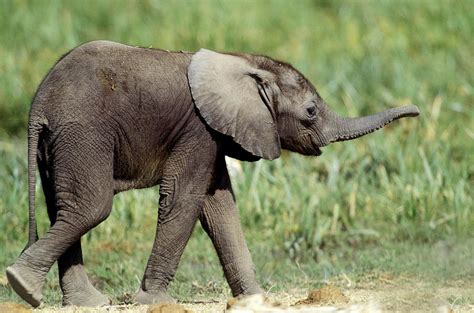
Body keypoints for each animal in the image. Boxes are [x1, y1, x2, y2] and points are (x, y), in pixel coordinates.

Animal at [5, 40, 416, 306]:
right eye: (311, 111)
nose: (415, 110)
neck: (240, 61)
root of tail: (38, 104)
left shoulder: (217, 132)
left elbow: (220, 206)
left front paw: (257, 300)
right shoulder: (198, 129)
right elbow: (183, 200)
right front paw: (155, 302)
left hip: (60, 143)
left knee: (63, 209)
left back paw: (82, 302)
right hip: (83, 133)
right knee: (91, 208)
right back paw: (22, 285)